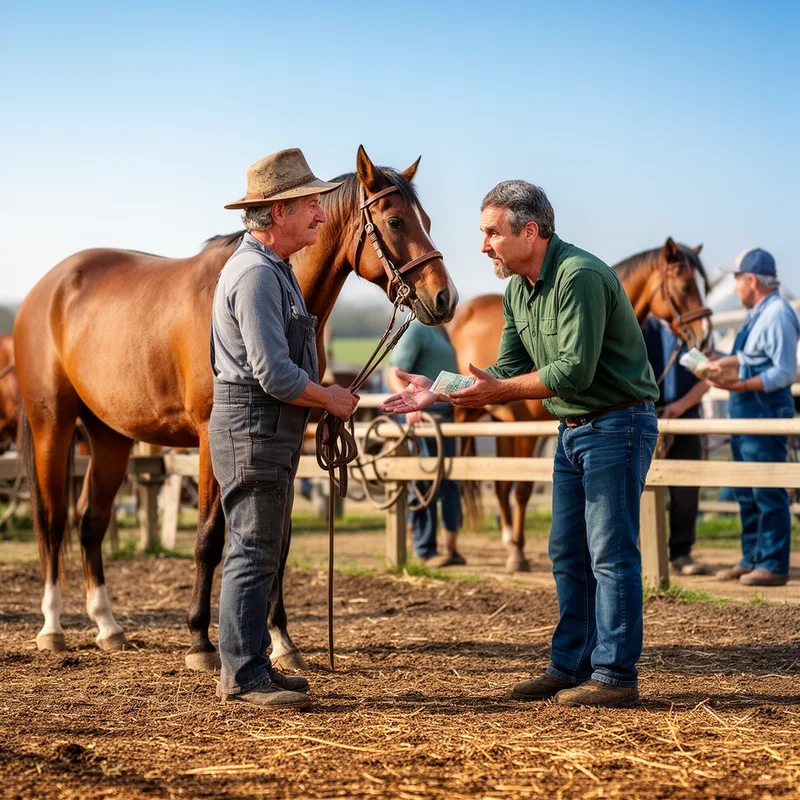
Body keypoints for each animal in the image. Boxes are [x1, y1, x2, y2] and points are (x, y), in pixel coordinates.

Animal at [14, 145, 458, 671]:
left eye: (425, 220)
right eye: (394, 221)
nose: (444, 298)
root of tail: (46, 289)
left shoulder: (295, 441)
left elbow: (278, 540)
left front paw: (283, 642)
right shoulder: (211, 438)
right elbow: (209, 537)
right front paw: (201, 643)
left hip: (110, 435)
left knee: (91, 521)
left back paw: (107, 626)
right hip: (53, 423)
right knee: (52, 519)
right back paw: (52, 627)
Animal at [447, 238, 710, 572]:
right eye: (685, 285)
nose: (705, 338)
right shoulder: (526, 429)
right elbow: (523, 489)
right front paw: (518, 554)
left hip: (500, 422)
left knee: (499, 484)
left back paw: (503, 540)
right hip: (468, 418)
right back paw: (465, 548)